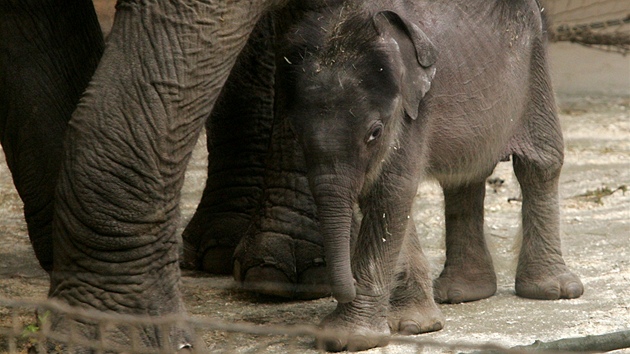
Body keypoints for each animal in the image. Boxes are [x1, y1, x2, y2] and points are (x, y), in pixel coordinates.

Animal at [278, 0, 584, 350]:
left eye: (374, 133)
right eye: (295, 133)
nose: (344, 288)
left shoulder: (415, 110)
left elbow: (391, 192)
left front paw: (354, 339)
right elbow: (383, 196)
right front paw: (411, 326)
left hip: (534, 69)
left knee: (540, 164)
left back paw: (552, 291)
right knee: (464, 176)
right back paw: (462, 293)